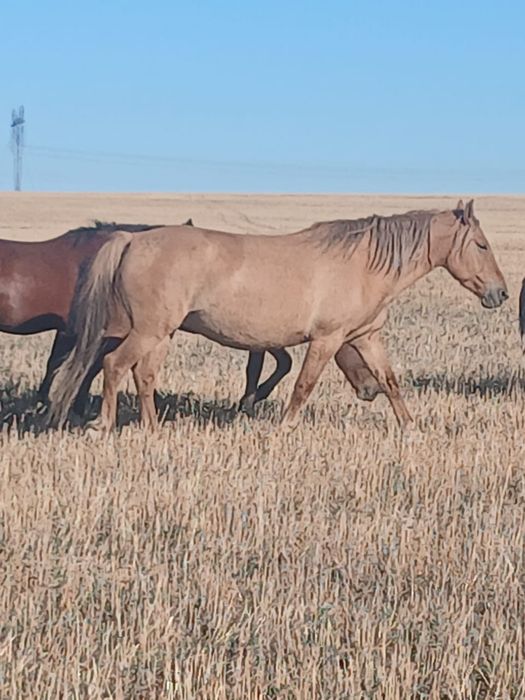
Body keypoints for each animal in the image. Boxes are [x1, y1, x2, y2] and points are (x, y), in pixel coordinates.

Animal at [49, 199, 508, 431]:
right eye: (482, 244)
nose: (500, 293)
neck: (363, 263)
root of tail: (130, 239)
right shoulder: (326, 340)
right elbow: (303, 386)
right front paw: (284, 429)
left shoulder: (366, 337)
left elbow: (391, 382)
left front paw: (410, 427)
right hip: (148, 331)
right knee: (114, 365)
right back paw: (106, 425)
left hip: (158, 333)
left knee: (140, 375)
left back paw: (152, 427)